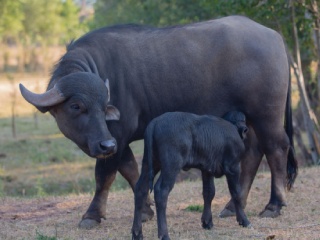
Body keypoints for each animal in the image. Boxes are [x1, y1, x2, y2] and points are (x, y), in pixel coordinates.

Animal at [131, 111, 251, 240]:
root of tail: (155, 122)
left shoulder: (207, 170)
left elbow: (209, 193)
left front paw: (207, 222)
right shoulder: (233, 167)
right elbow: (236, 193)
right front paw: (244, 220)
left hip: (149, 163)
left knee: (140, 189)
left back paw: (137, 233)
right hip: (171, 166)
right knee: (161, 191)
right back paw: (164, 234)